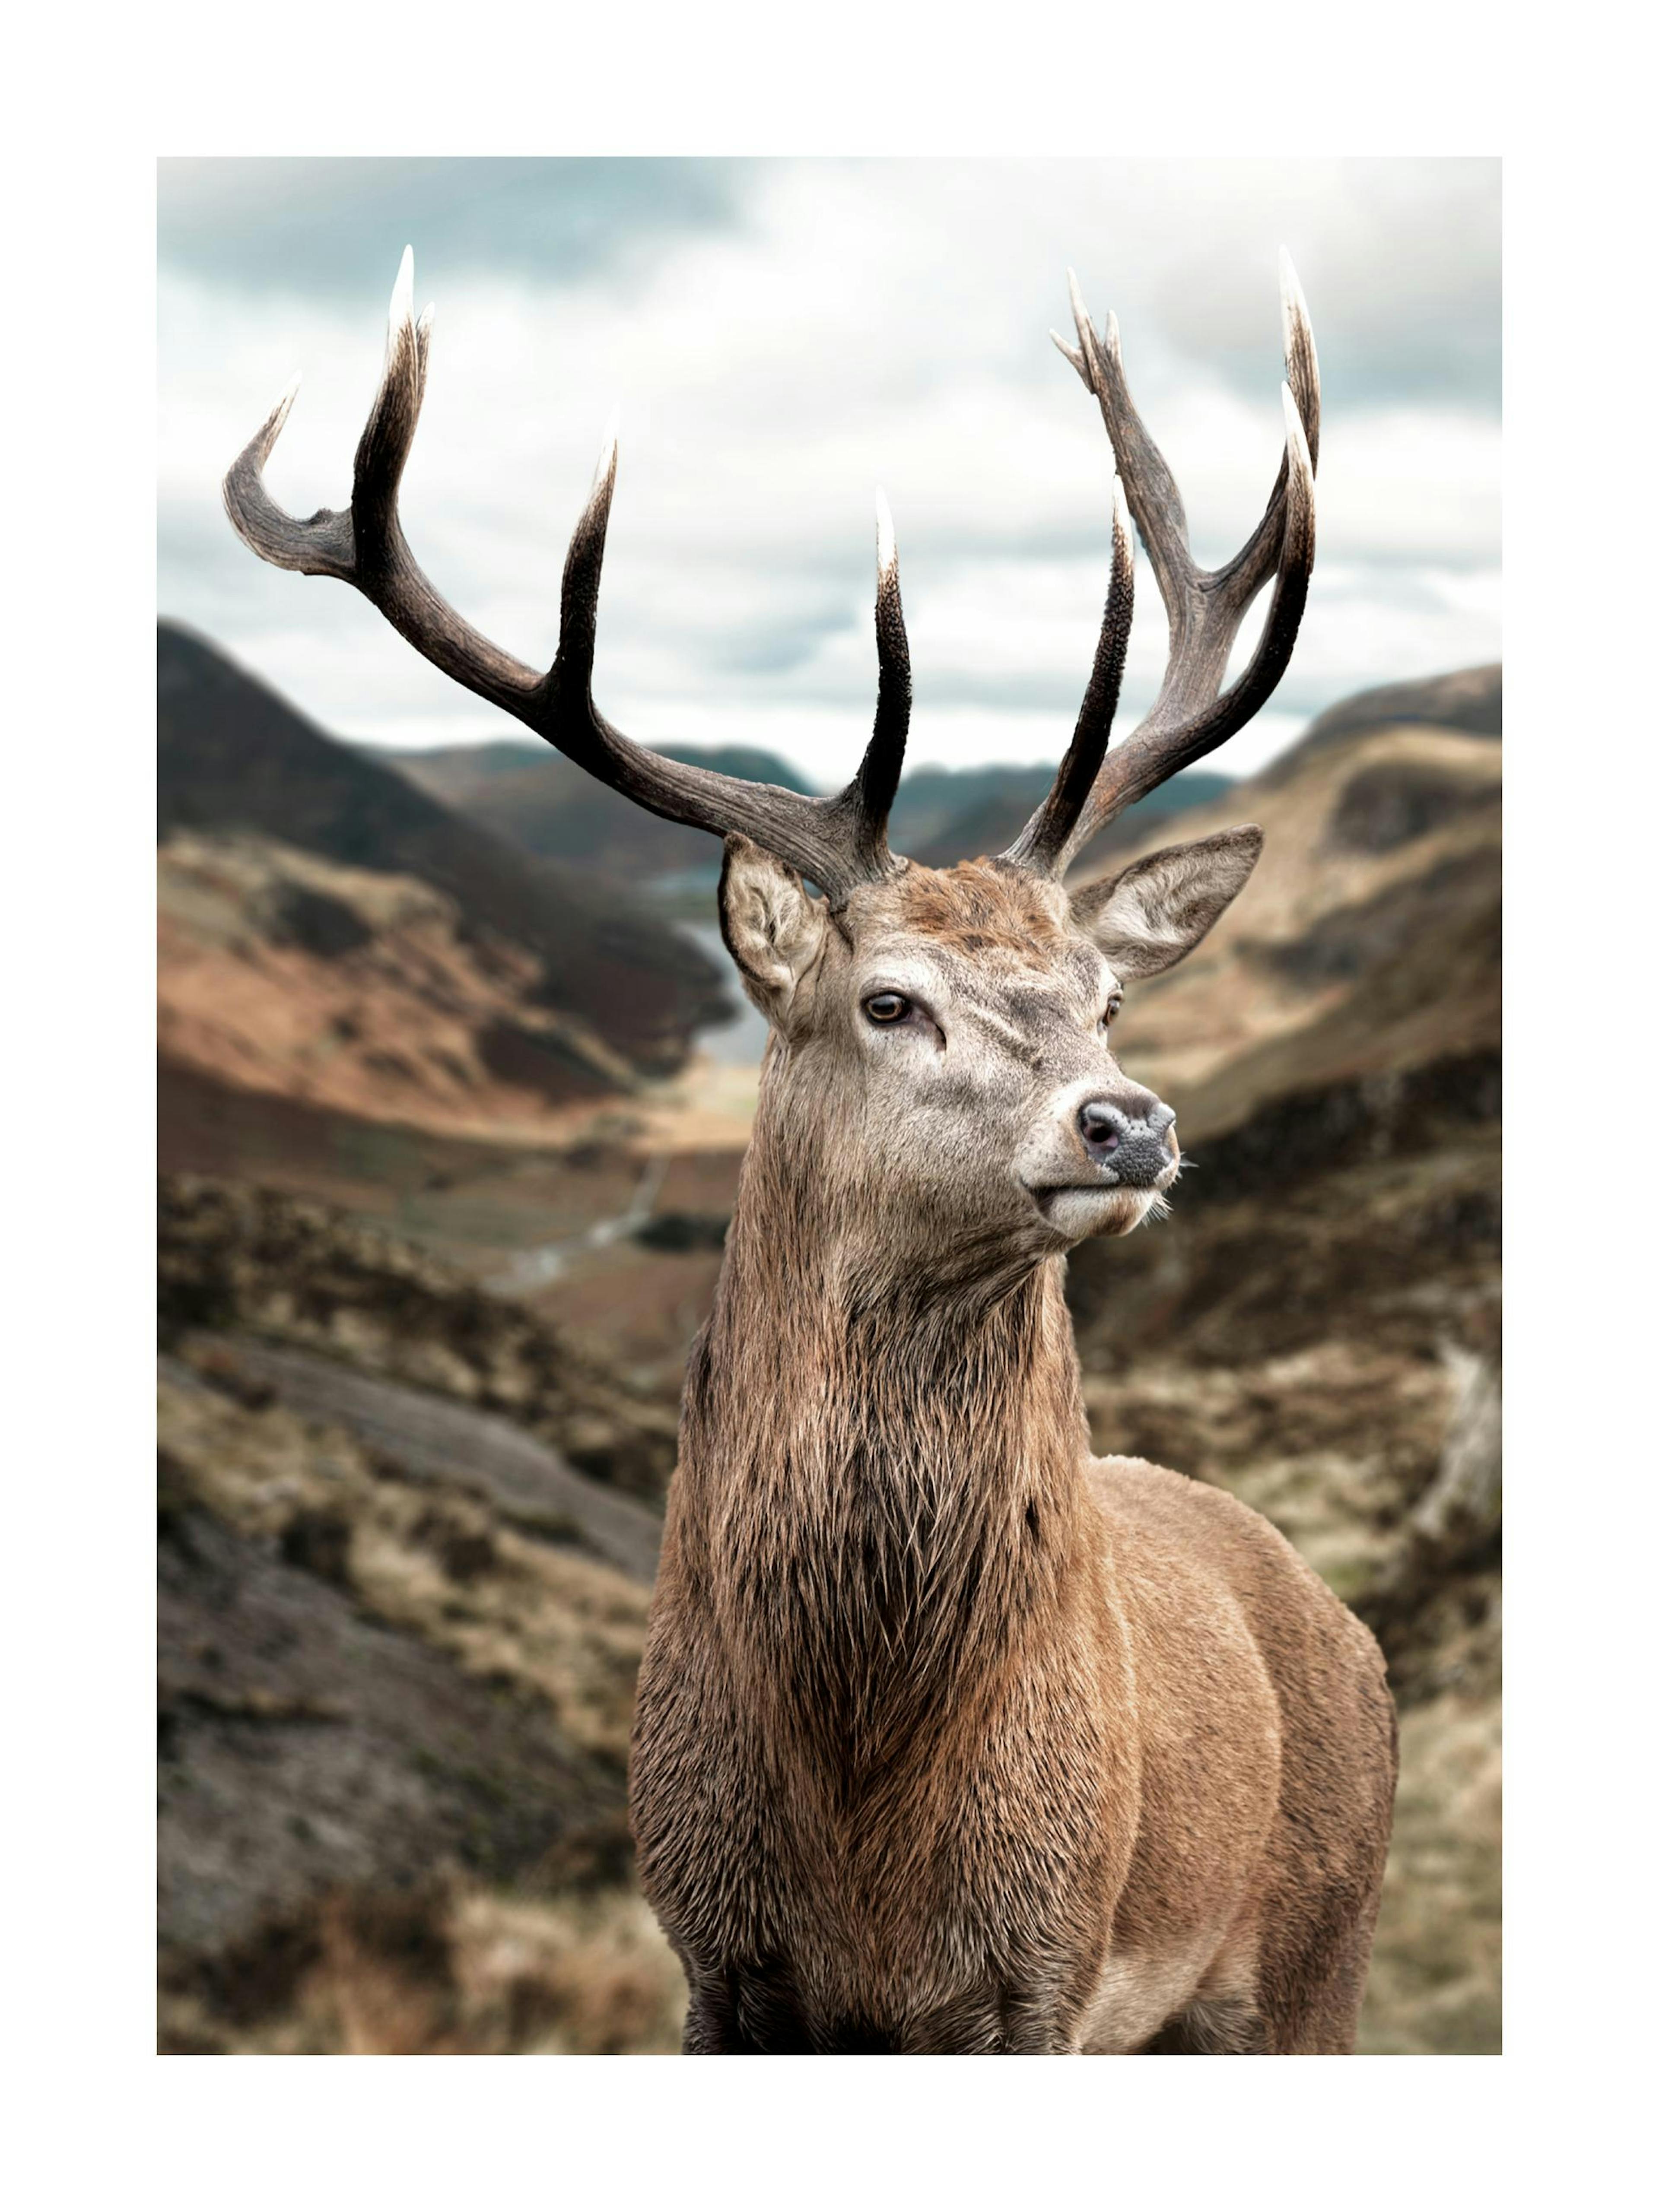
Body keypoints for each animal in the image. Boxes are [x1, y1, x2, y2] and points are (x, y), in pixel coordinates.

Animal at [224, 247, 1398, 2055]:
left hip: (1311, 1960)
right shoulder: (712, 1954)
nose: (1130, 1119)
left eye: (1107, 993)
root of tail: (1340, 1618)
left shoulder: (1045, 1966)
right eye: (889, 998)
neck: (861, 1819)